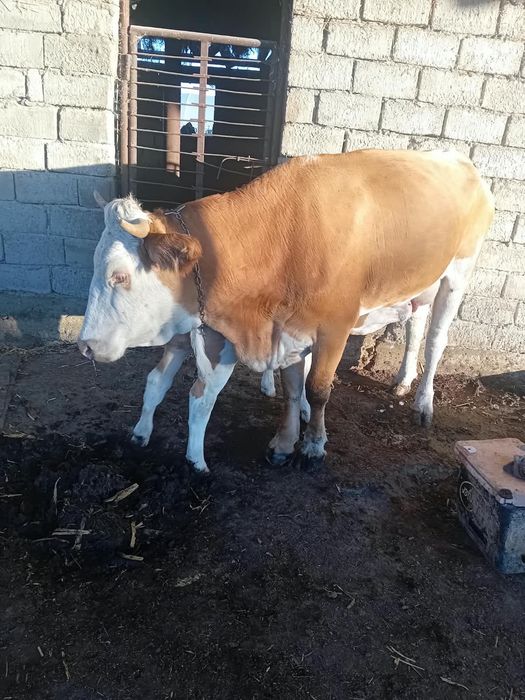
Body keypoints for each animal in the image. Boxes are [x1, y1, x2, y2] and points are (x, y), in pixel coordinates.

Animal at [78, 149, 494, 473]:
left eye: (119, 276)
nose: (84, 345)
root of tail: (457, 158)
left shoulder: (333, 327)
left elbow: (318, 388)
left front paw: (313, 446)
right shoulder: (290, 327)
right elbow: (293, 389)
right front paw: (284, 442)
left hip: (459, 271)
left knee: (436, 339)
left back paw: (423, 403)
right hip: (420, 285)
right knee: (415, 326)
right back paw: (404, 380)